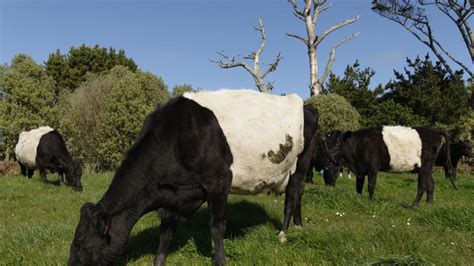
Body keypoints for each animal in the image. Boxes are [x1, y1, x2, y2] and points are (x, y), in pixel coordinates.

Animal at [67, 90, 318, 266]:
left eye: (80, 243)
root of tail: (305, 104)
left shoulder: (218, 182)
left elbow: (217, 228)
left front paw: (220, 261)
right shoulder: (171, 195)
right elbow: (166, 232)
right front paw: (159, 261)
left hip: (300, 164)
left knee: (292, 195)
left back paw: (283, 233)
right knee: (298, 194)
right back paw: (298, 226)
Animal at [324, 125, 454, 207]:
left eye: (338, 143)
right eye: (327, 143)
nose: (328, 157)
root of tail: (435, 130)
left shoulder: (372, 167)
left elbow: (371, 185)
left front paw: (371, 202)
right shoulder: (360, 169)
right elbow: (358, 187)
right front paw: (358, 200)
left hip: (424, 167)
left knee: (422, 186)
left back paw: (414, 206)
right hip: (427, 168)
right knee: (431, 185)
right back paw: (428, 205)